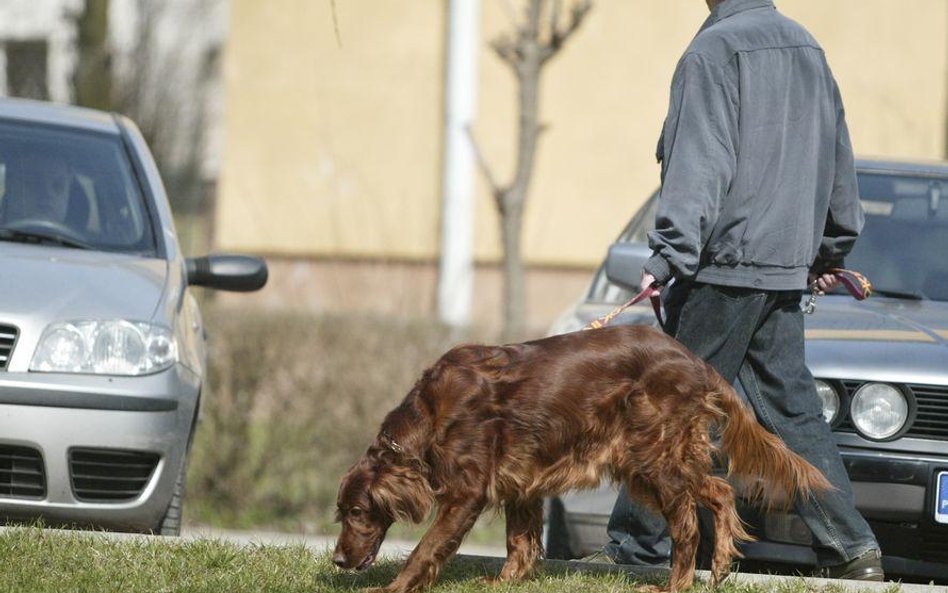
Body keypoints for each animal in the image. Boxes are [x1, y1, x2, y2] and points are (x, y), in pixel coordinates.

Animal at [334, 326, 828, 588]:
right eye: (340, 513)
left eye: (358, 511)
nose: (337, 560)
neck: (431, 413)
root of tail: (693, 361)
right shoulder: (521, 482)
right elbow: (519, 541)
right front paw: (505, 582)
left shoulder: (466, 493)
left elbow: (426, 548)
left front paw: (393, 589)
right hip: (658, 460)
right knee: (721, 491)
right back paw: (721, 565)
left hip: (654, 460)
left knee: (687, 524)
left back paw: (676, 585)